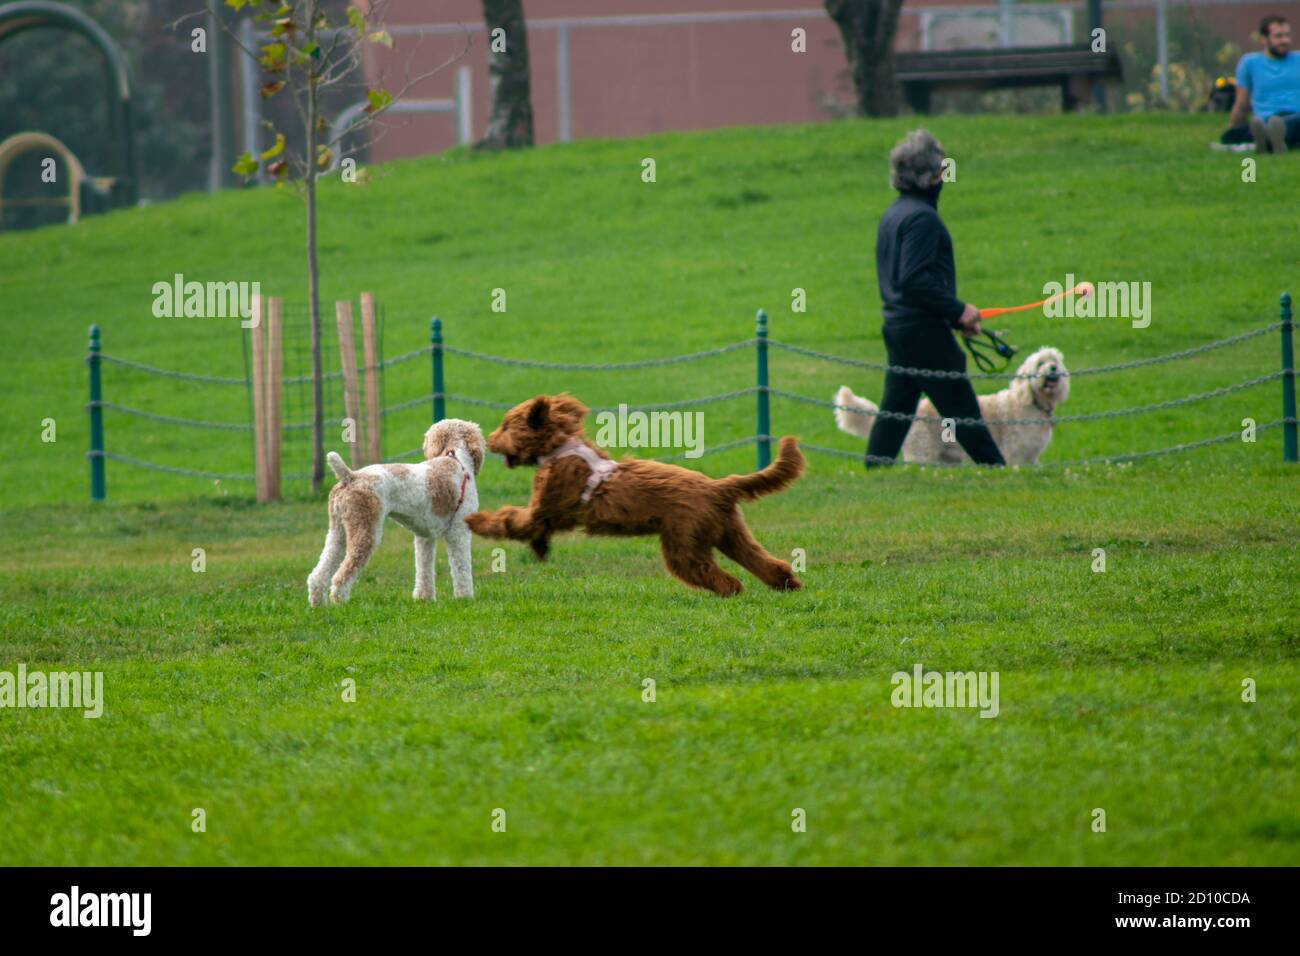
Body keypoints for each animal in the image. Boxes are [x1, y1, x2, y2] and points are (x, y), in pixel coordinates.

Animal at [306, 418, 486, 606]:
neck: (457, 459)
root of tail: (350, 477)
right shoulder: (458, 532)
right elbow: (461, 568)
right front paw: (465, 598)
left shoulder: (425, 536)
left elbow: (424, 568)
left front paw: (424, 598)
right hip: (366, 532)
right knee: (340, 577)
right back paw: (341, 603)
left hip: (338, 532)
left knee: (319, 573)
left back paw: (318, 604)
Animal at [462, 392, 806, 595]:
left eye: (507, 426)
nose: (490, 438)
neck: (559, 449)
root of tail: (718, 485)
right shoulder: (549, 514)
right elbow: (534, 528)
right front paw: (540, 549)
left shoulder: (544, 506)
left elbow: (511, 519)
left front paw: (475, 520)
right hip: (730, 531)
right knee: (763, 560)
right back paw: (786, 584)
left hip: (685, 542)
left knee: (713, 574)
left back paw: (731, 591)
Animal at [837, 348, 1071, 468]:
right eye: (1040, 364)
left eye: (1055, 361)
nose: (1053, 368)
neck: (1029, 401)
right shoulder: (1014, 453)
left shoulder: (1031, 457)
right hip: (923, 453)